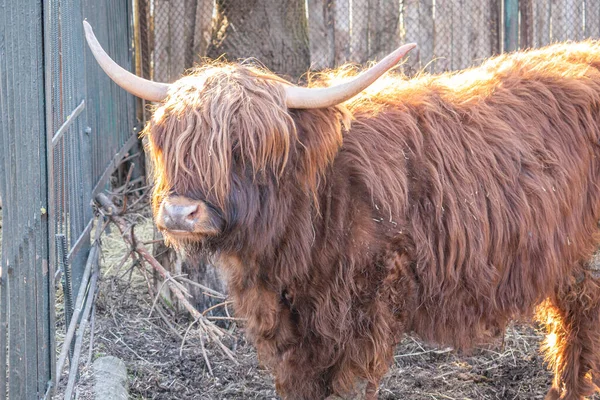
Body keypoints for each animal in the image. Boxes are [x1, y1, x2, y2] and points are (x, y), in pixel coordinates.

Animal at [85, 22, 600, 400]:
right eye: (169, 142)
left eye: (243, 147)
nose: (179, 213)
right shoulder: (286, 322)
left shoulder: (363, 308)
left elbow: (346, 383)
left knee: (580, 322)